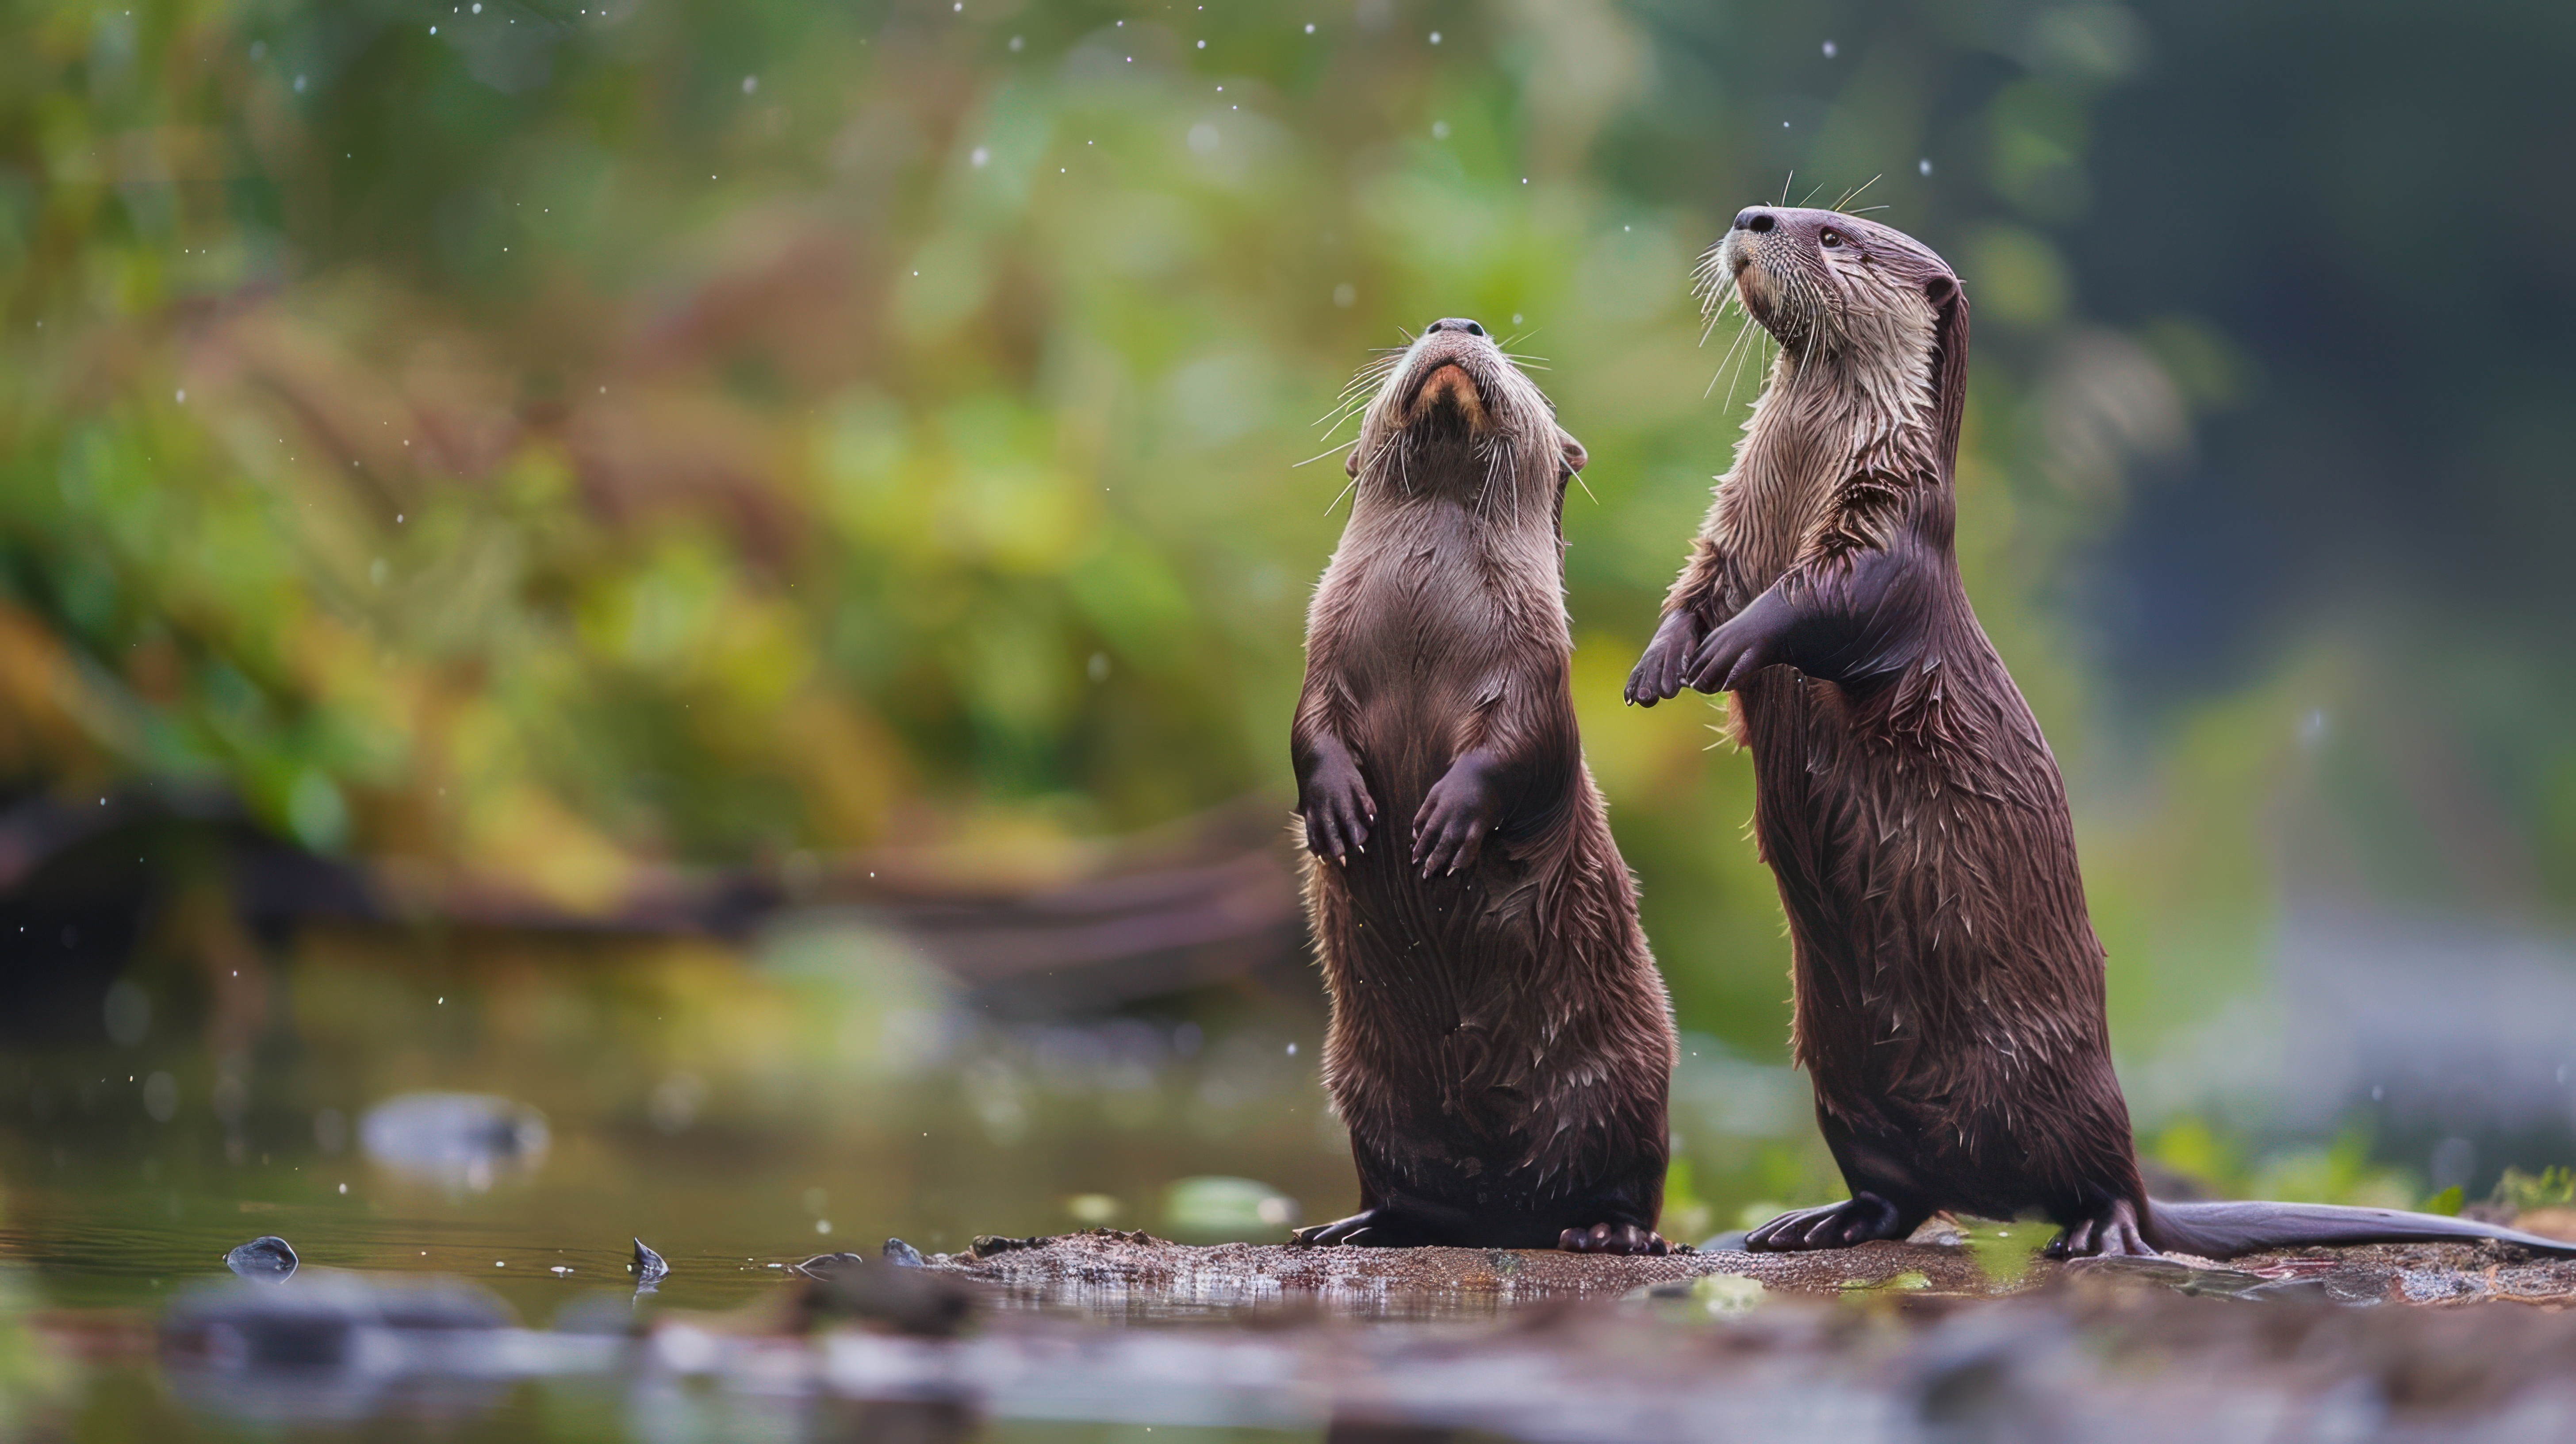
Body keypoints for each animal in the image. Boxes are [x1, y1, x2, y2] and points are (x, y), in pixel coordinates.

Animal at [1291, 317, 1680, 1255]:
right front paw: (1337, 806)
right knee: (1401, 1191)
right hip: (1359, 1084)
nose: (1454, 325)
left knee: (1630, 1177)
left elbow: (1520, 754)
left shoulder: (1538, 672)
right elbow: (1307, 733)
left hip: (1631, 1074)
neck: (1423, 618)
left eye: (1482, 331)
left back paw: (1607, 1231)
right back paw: (1354, 1225)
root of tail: (1501, 1211)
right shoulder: (1320, 652)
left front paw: (1446, 819)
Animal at [1624, 206, 2576, 1261]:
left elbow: (1816, 605)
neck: (1803, 476)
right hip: (1839, 1074)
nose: (1752, 217)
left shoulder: (1884, 542)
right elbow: (1698, 583)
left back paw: (2096, 1233)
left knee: (2100, 1176)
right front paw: (1662, 659)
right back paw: (1819, 1221)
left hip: (2064, 1088)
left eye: (1832, 234)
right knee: (1897, 1194)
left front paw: (1730, 649)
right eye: (1791, 213)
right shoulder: (1731, 519)